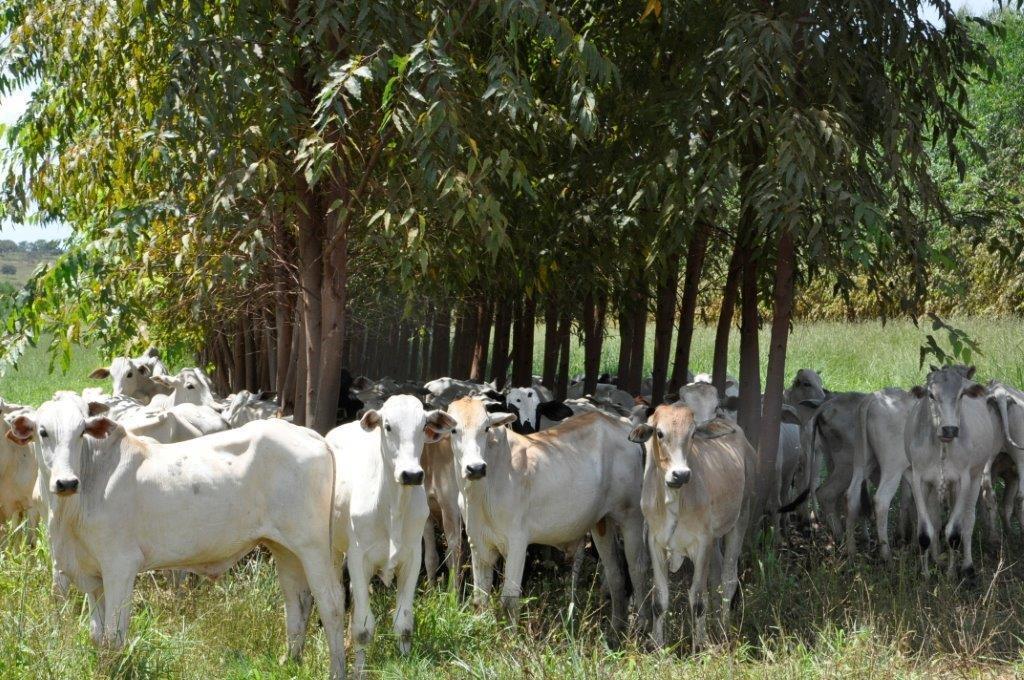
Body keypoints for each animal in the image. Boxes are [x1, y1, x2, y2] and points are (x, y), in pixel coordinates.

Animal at [626, 403, 757, 647]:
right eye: (660, 433)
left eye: (693, 434)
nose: (681, 474)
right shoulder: (655, 542)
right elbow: (660, 600)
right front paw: (658, 646)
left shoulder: (702, 543)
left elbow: (697, 600)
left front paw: (699, 647)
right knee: (716, 578)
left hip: (741, 517)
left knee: (728, 580)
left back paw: (723, 630)